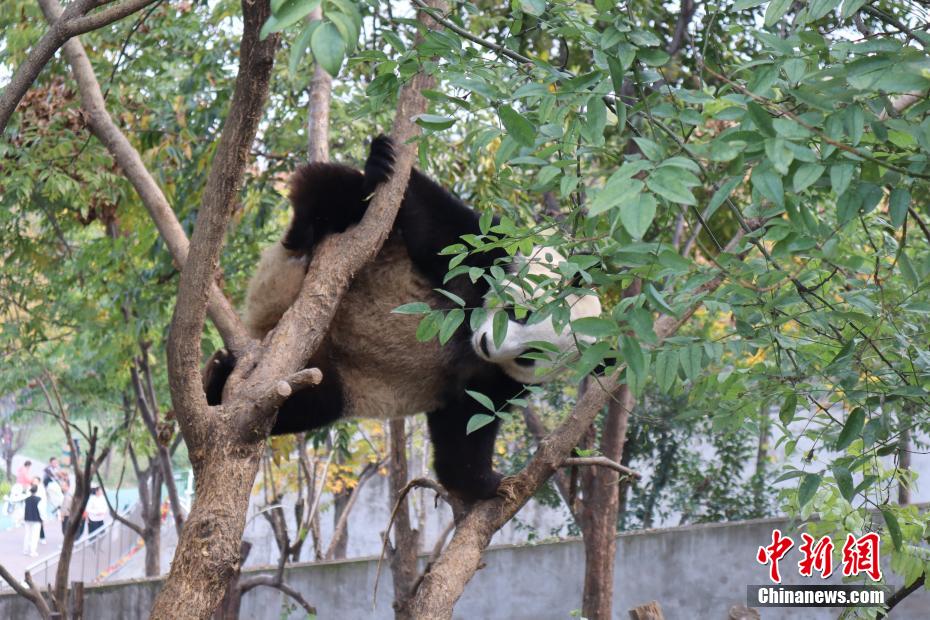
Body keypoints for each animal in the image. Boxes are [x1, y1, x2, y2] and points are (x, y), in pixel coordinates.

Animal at [205, 136, 600, 498]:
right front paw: (384, 157)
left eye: (529, 356)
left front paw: (488, 483)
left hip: (315, 373)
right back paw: (312, 224)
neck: (467, 331)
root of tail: (269, 310)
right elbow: (436, 222)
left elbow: (466, 424)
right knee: (336, 191)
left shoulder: (500, 379)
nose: (489, 344)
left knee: (307, 404)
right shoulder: (484, 255)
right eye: (520, 313)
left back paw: (216, 381)